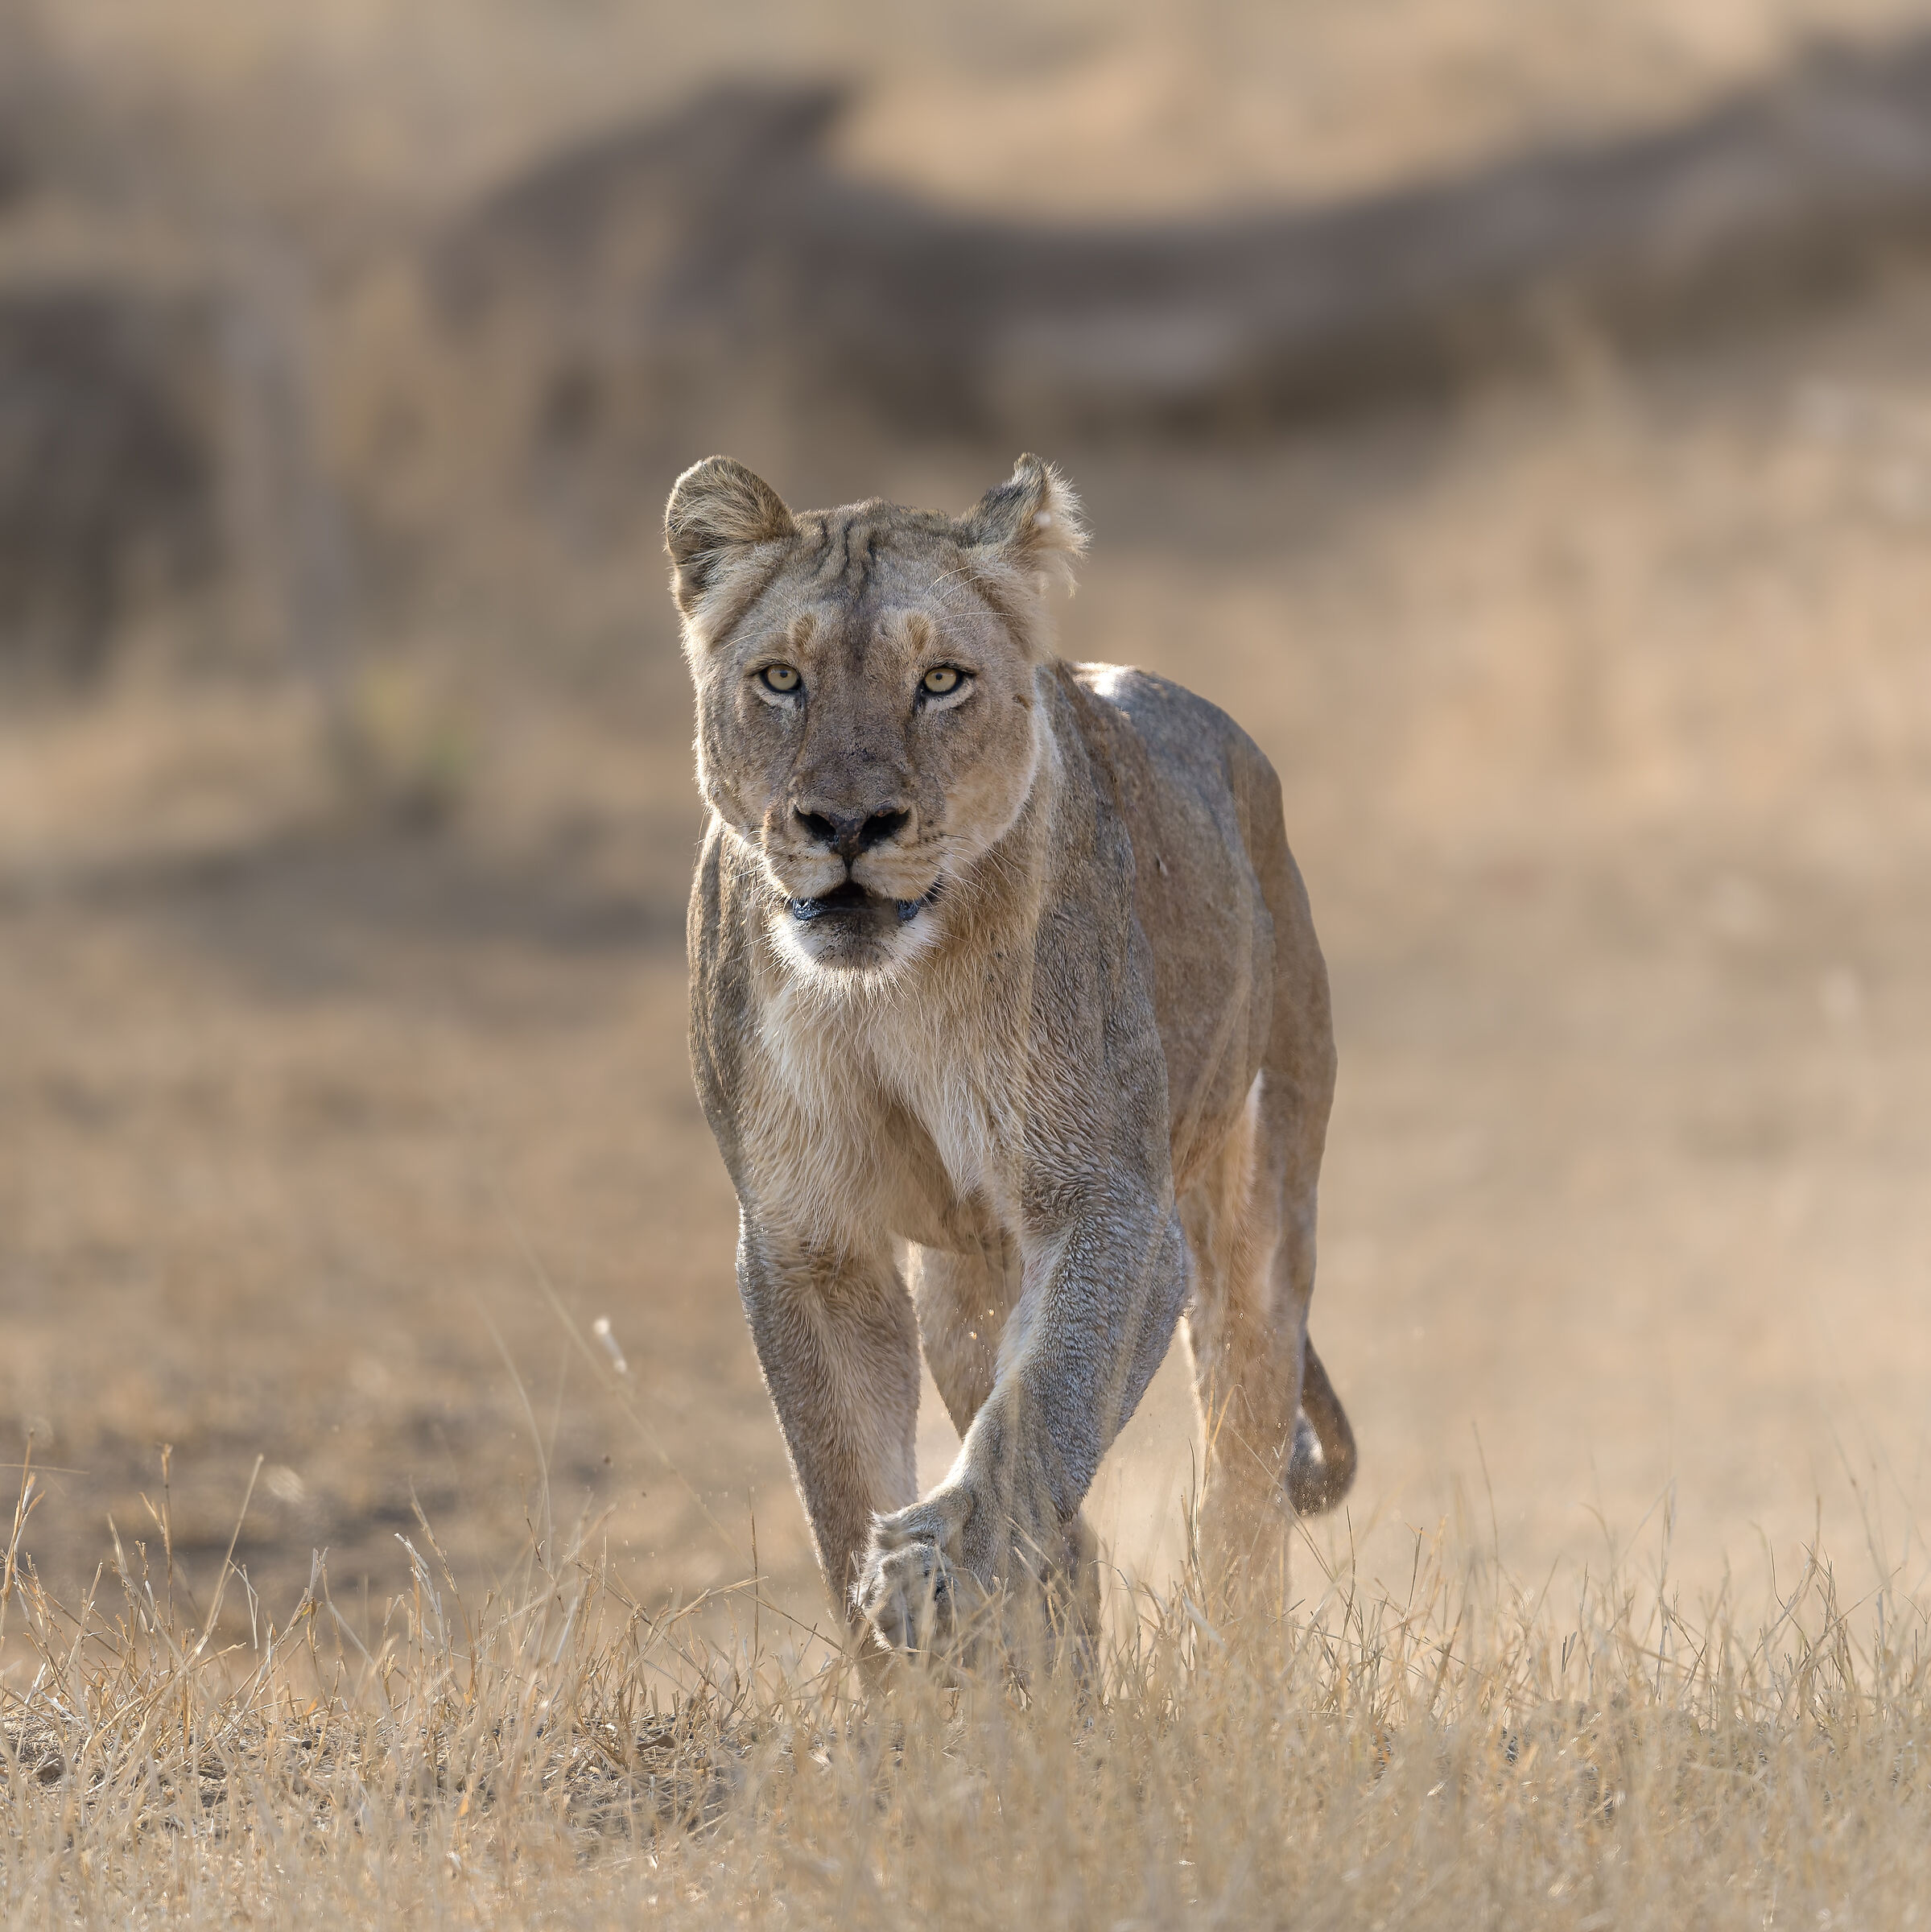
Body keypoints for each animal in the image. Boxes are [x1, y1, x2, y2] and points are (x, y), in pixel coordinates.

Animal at [667, 452, 1355, 1657]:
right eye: (781, 680)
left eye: (940, 681)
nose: (849, 825)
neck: (884, 994)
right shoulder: (806, 1239)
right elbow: (841, 1485)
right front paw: (898, 1664)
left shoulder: (1110, 1206)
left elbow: (1037, 1421)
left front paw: (936, 1564)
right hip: (963, 1288)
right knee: (1071, 1533)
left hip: (1258, 1208)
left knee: (1239, 1482)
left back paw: (1232, 1671)